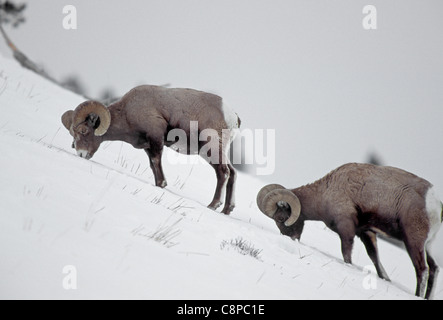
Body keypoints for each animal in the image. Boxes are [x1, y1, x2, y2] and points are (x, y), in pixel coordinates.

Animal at [61, 85, 241, 215]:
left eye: (83, 131)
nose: (81, 154)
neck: (128, 111)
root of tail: (232, 116)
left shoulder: (155, 139)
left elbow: (156, 162)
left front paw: (162, 184)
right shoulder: (148, 146)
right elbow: (153, 165)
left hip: (210, 149)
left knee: (223, 172)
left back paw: (213, 205)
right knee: (232, 172)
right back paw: (227, 210)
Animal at [258, 164, 442, 298]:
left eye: (280, 219)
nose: (289, 238)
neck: (326, 192)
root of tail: (435, 204)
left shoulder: (346, 229)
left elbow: (347, 254)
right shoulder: (366, 232)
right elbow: (374, 258)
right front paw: (385, 278)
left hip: (413, 242)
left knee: (422, 270)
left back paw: (418, 295)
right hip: (427, 246)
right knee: (434, 268)